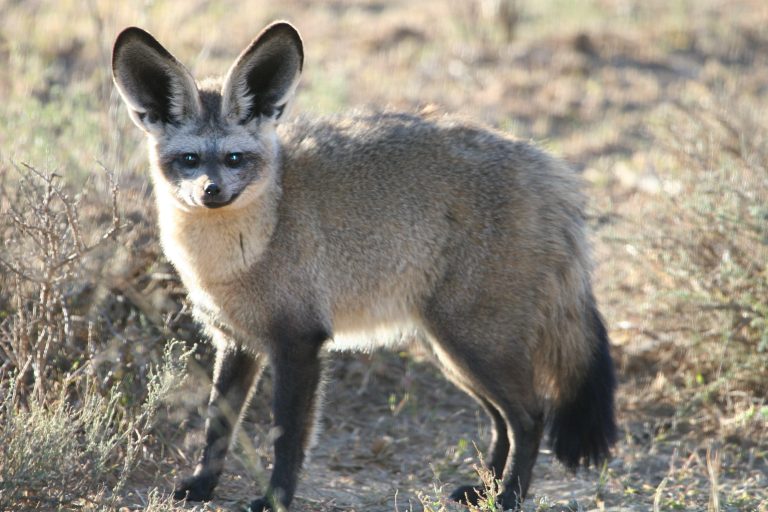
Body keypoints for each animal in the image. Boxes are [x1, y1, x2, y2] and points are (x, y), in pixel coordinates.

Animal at [111, 20, 616, 512]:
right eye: (189, 160)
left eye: (235, 158)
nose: (211, 192)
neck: (244, 253)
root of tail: (548, 169)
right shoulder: (235, 342)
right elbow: (217, 426)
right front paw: (202, 485)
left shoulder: (298, 342)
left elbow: (287, 438)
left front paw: (275, 499)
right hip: (452, 351)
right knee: (502, 420)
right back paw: (485, 490)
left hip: (474, 345)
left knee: (530, 417)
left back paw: (509, 497)